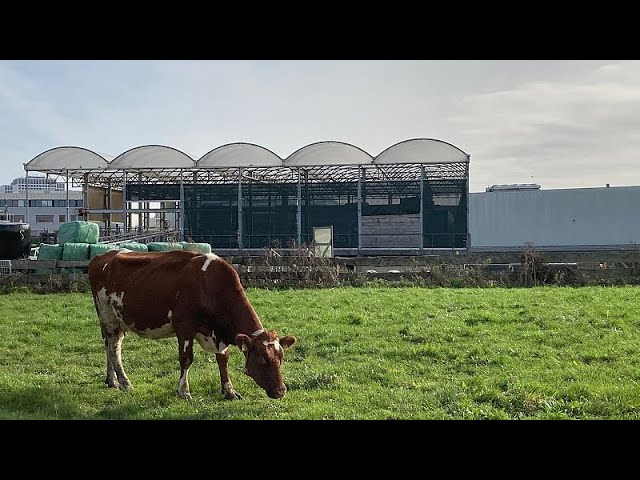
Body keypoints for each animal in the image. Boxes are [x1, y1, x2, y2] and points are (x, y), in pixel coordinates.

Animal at [88, 249, 298, 400]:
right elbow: (186, 359)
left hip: (117, 322)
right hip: (108, 317)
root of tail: (102, 256)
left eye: (281, 358)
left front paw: (229, 390)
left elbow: (223, 359)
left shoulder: (217, 334)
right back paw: (124, 382)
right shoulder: (185, 327)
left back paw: (112, 380)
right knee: (114, 349)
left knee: (109, 346)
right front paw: (184, 391)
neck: (209, 285)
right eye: (262, 359)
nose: (281, 391)